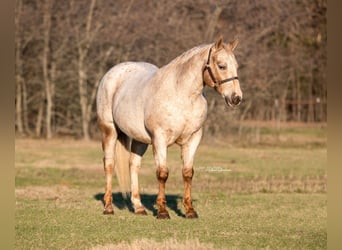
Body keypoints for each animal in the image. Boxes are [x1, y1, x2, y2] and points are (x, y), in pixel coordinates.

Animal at [95, 35, 242, 219]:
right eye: (222, 66)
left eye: (236, 66)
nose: (236, 98)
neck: (182, 96)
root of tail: (112, 73)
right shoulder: (160, 139)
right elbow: (162, 173)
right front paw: (162, 212)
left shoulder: (193, 139)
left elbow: (187, 173)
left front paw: (190, 211)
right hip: (109, 131)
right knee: (109, 165)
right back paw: (108, 207)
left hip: (140, 140)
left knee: (134, 165)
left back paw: (139, 207)